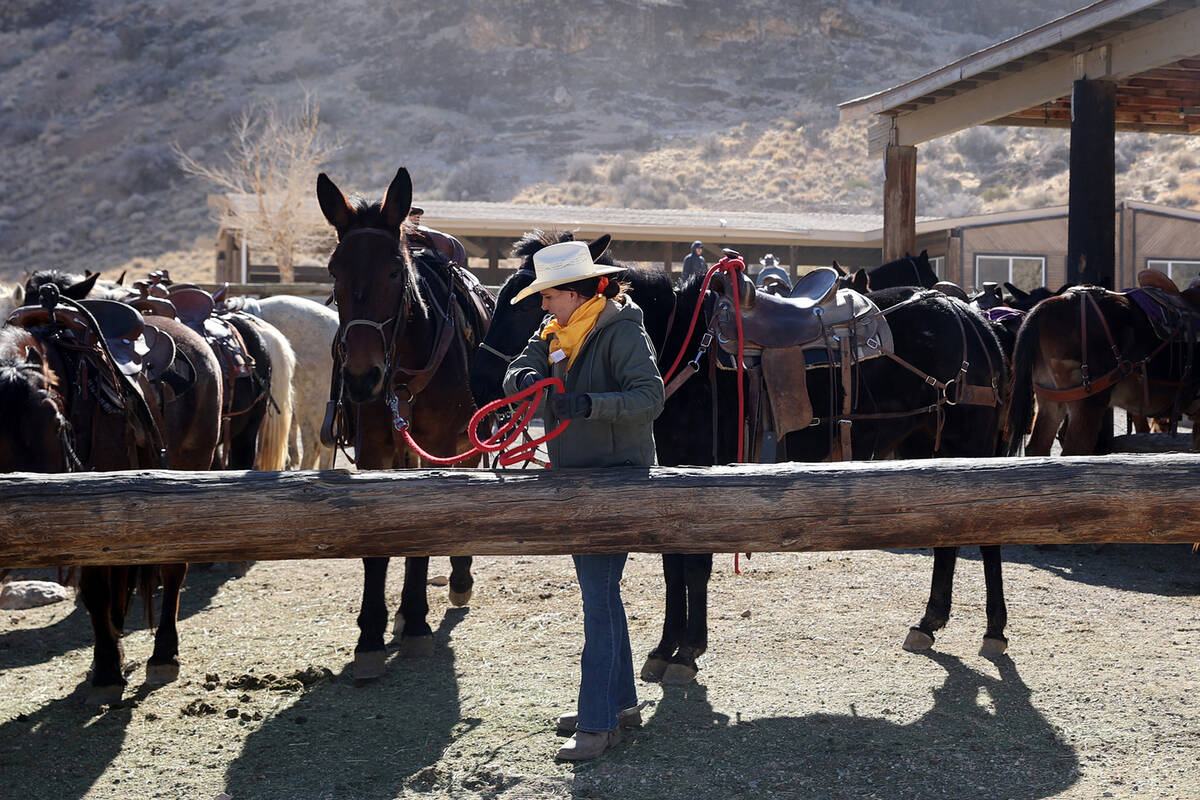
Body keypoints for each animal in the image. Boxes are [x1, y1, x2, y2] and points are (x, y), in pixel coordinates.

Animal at [1, 284, 222, 705]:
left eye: (56, 422)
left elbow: (96, 589)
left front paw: (106, 672)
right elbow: (96, 592)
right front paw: (106, 661)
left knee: (173, 568)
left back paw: (163, 654)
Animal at [316, 165, 489, 681]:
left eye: (395, 269)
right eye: (334, 271)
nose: (361, 376)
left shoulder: (439, 446)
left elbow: (425, 535)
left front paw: (415, 622)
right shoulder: (376, 451)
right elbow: (380, 542)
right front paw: (371, 634)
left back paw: (458, 578)